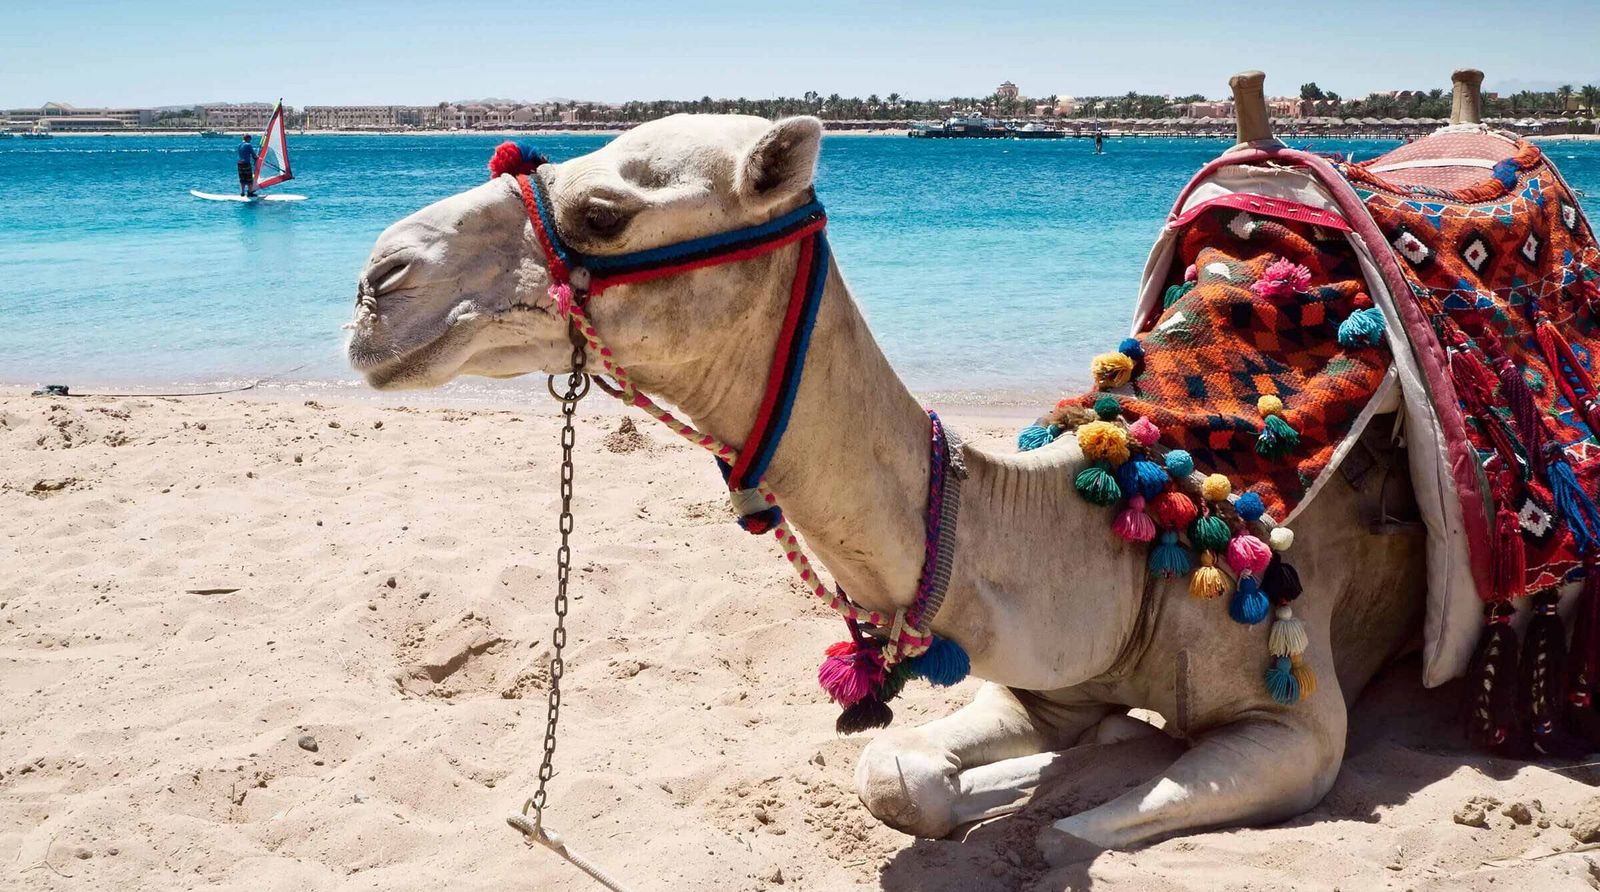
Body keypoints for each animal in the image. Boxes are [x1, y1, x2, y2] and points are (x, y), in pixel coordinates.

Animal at [345, 84, 1436, 860]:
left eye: (605, 211)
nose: (376, 286)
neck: (1132, 524)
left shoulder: (1299, 731)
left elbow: (1064, 828)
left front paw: (1067, 787)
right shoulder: (1047, 683)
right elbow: (893, 774)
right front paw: (1017, 775)